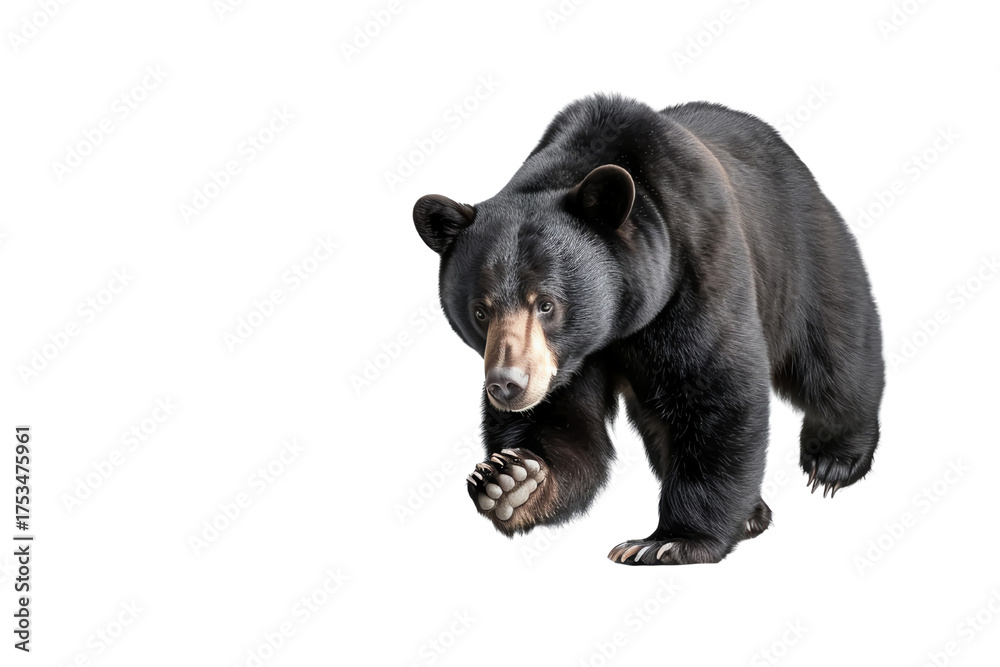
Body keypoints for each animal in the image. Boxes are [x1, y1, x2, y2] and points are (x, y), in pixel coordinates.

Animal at [412, 94, 884, 565]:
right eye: (480, 311)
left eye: (546, 304)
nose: (508, 385)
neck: (619, 323)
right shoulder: (568, 360)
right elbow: (563, 424)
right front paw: (512, 481)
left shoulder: (694, 269)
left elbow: (717, 389)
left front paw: (669, 540)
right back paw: (752, 512)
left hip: (797, 248)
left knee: (833, 344)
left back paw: (833, 459)